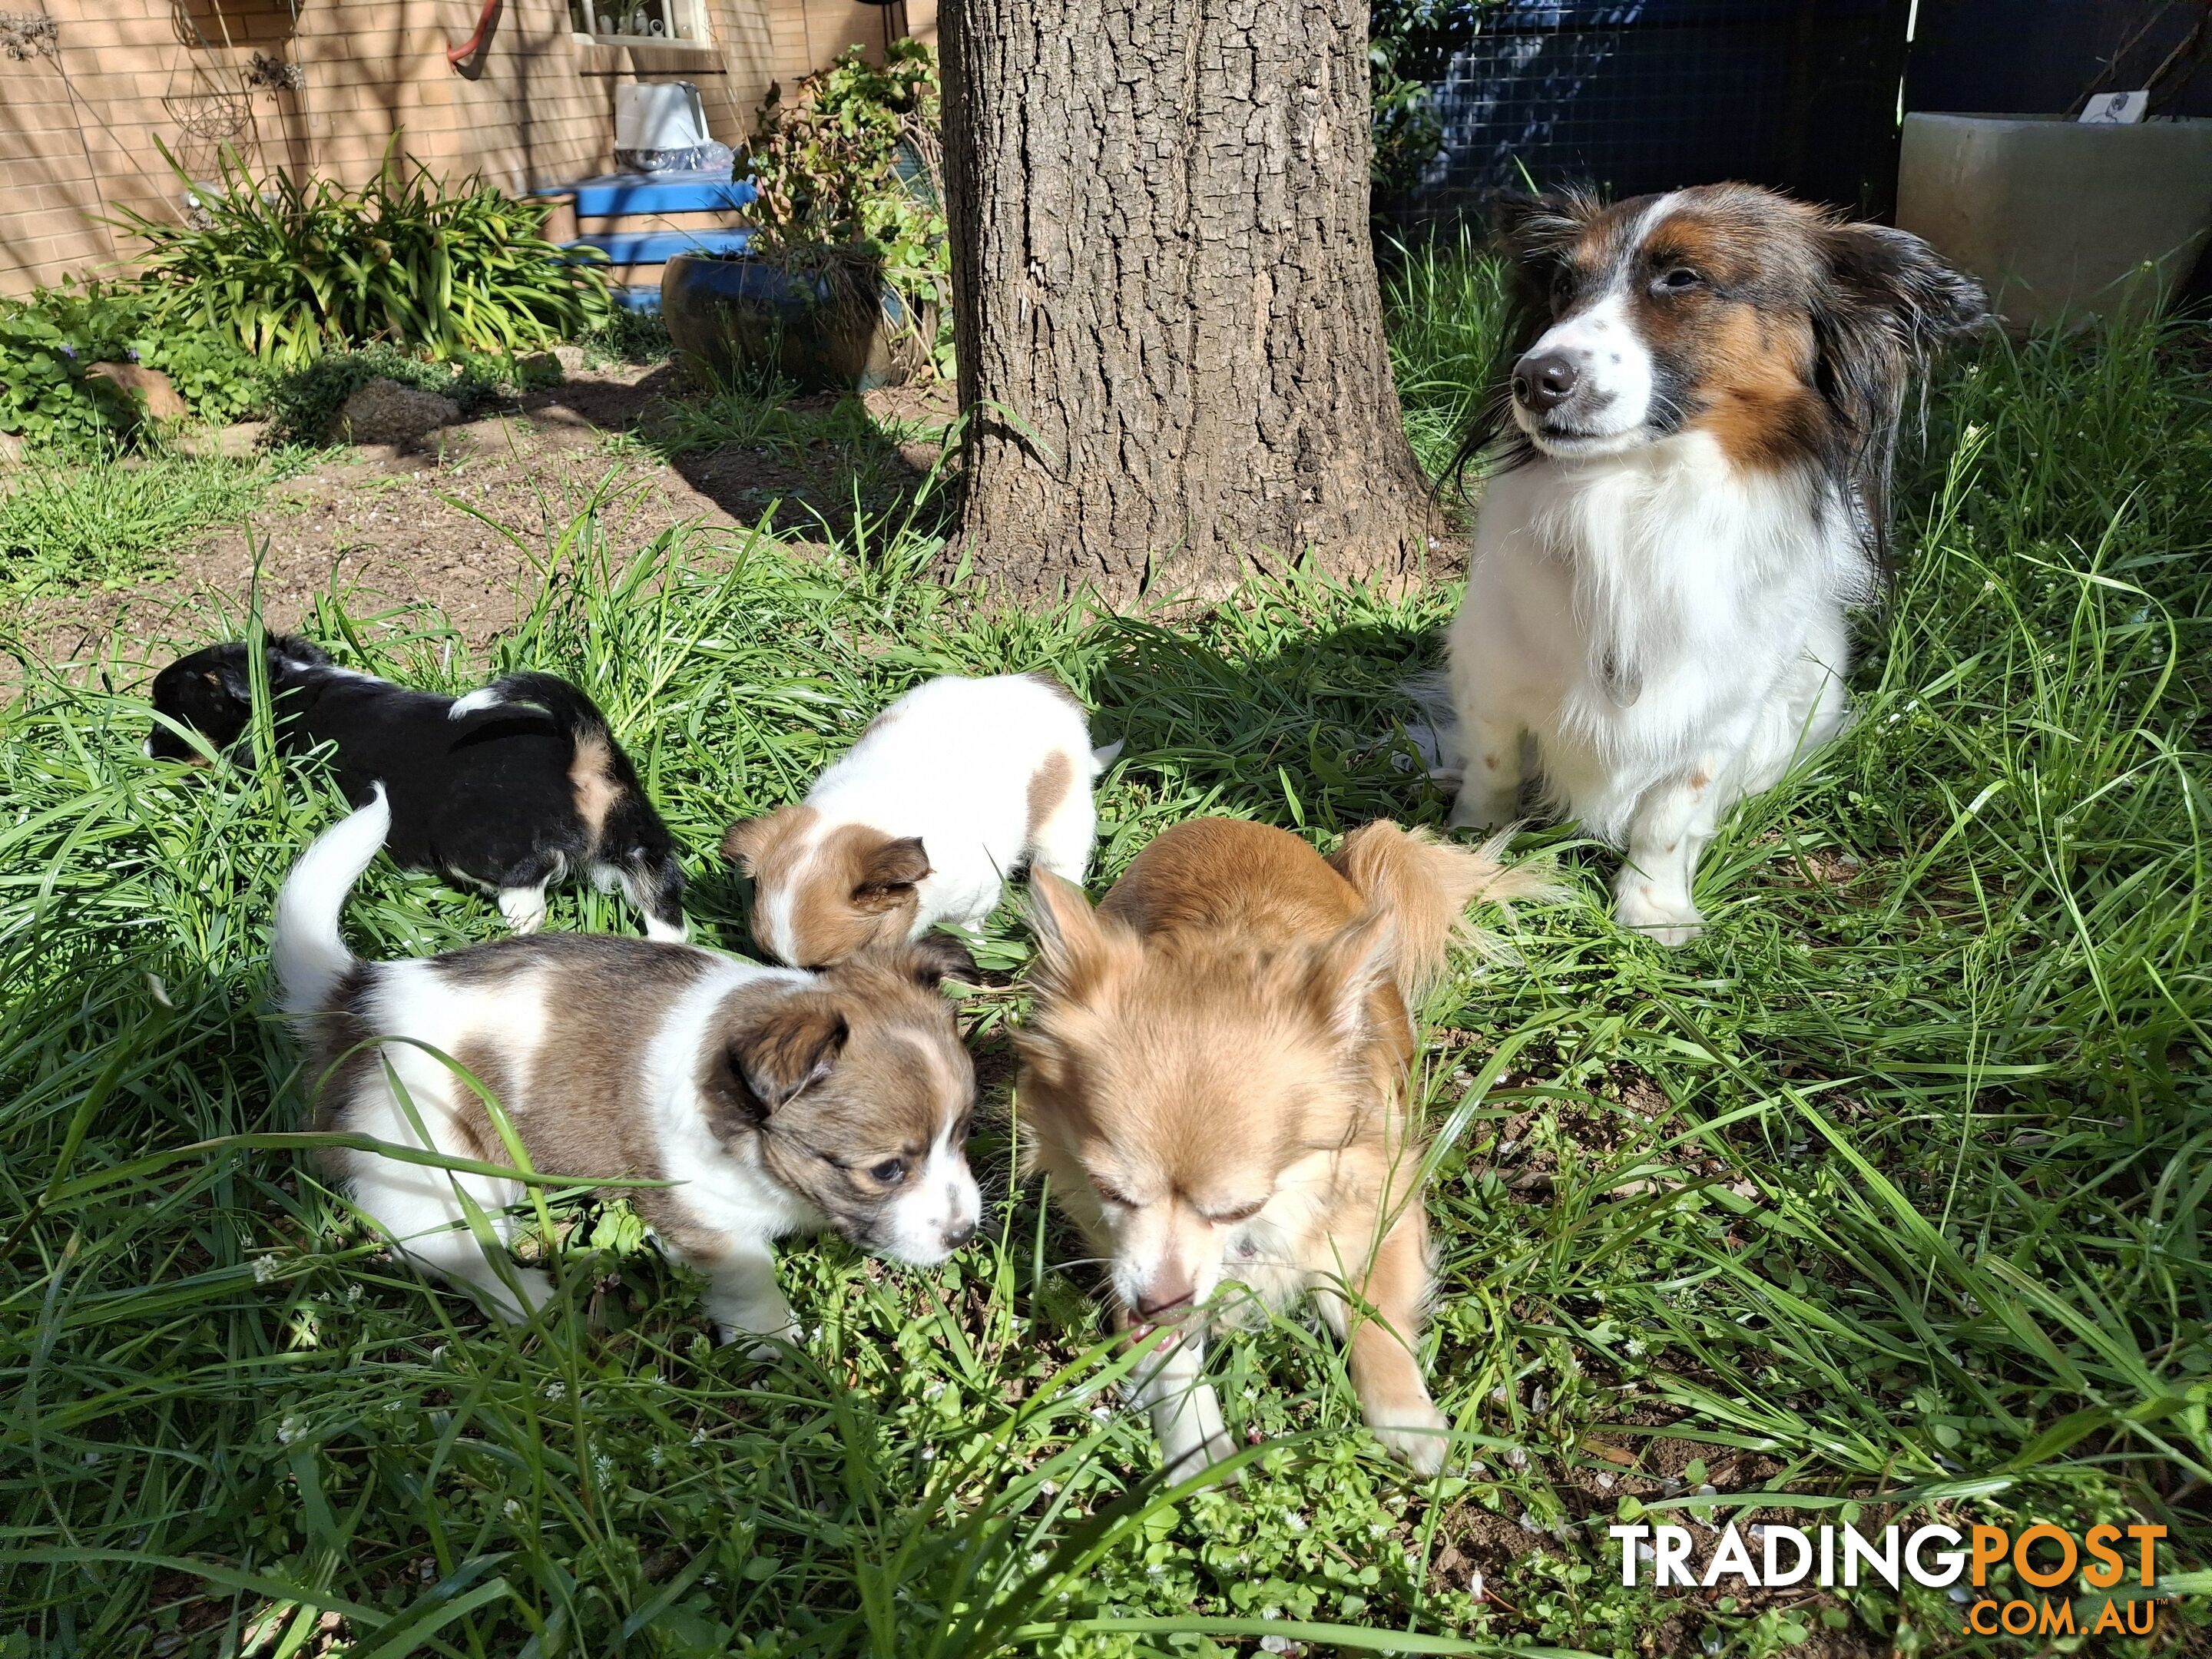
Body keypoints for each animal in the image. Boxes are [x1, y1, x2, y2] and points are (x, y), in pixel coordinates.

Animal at [152, 637, 685, 942]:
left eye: (166, 719)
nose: (145, 750)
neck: (286, 683)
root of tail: (580, 756)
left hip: (479, 848)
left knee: (528, 896)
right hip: (642, 845)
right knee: (665, 914)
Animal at [274, 787, 977, 1345]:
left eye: (963, 1132)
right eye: (886, 1170)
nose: (966, 1234)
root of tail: (360, 998)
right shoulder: (706, 1216)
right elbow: (750, 1277)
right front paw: (772, 1338)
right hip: (434, 1174)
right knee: (458, 1253)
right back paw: (528, 1298)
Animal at [725, 667, 1114, 969]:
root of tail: (1041, 690)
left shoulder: (979, 892)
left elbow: (969, 924)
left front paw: (975, 948)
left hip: (1063, 820)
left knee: (1061, 866)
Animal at [1017, 818, 1557, 1477]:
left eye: (1239, 1209)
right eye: (1108, 1192)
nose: (1161, 1301)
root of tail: (1228, 822)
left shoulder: (1383, 1207)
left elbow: (1374, 1313)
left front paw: (1406, 1417)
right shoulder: (1126, 1268)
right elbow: (1168, 1361)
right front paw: (1196, 1446)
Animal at [1433, 187, 1991, 942]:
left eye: (1682, 279)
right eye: (1563, 287)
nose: (1533, 380)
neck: (1640, 492)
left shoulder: (1720, 713)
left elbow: (1669, 816)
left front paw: (1652, 907)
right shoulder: (1491, 671)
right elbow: (1493, 764)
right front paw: (1472, 846)